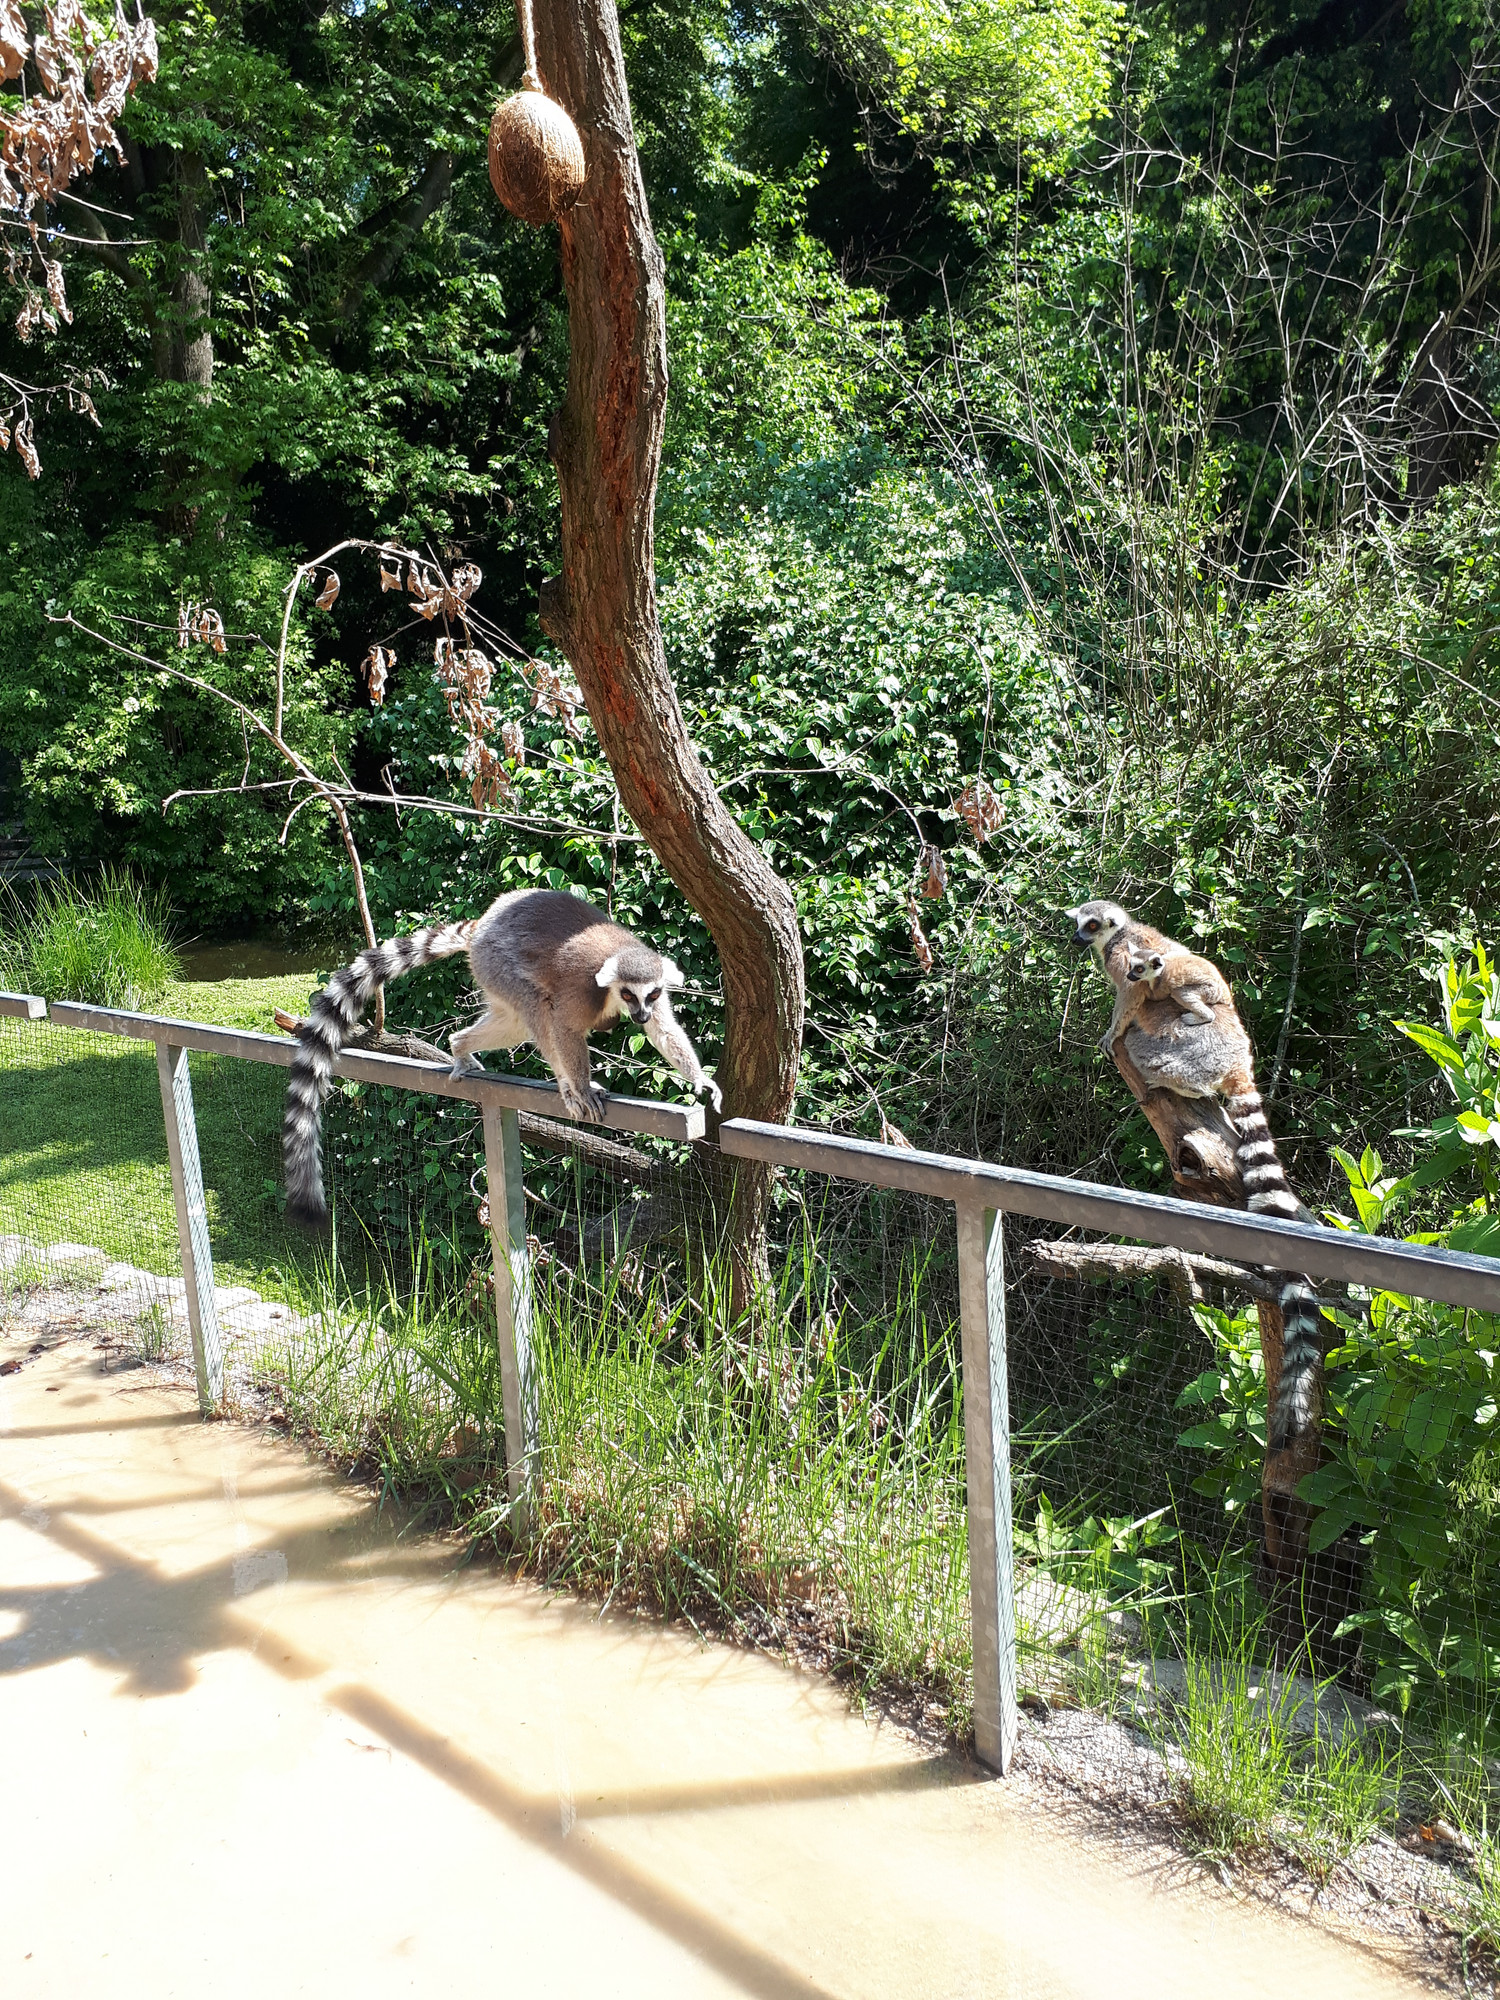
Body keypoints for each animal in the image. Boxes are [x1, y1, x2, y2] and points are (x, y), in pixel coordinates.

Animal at [283, 888, 721, 1229]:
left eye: (652, 994)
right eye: (629, 993)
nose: (640, 1014)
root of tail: (483, 923)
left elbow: (665, 1032)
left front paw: (701, 1080)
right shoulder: (582, 990)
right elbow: (563, 1028)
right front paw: (578, 1086)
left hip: (490, 974)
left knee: (515, 1023)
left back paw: (460, 1045)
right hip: (497, 963)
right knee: (536, 1011)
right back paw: (565, 1084)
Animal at [1068, 897, 1322, 1450]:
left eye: (1092, 926)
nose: (1077, 940)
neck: (1119, 938)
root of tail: (1239, 1056)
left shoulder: (1128, 967)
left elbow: (1130, 1000)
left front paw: (1111, 1031)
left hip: (1187, 1050)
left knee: (1153, 1046)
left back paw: (1164, 1081)